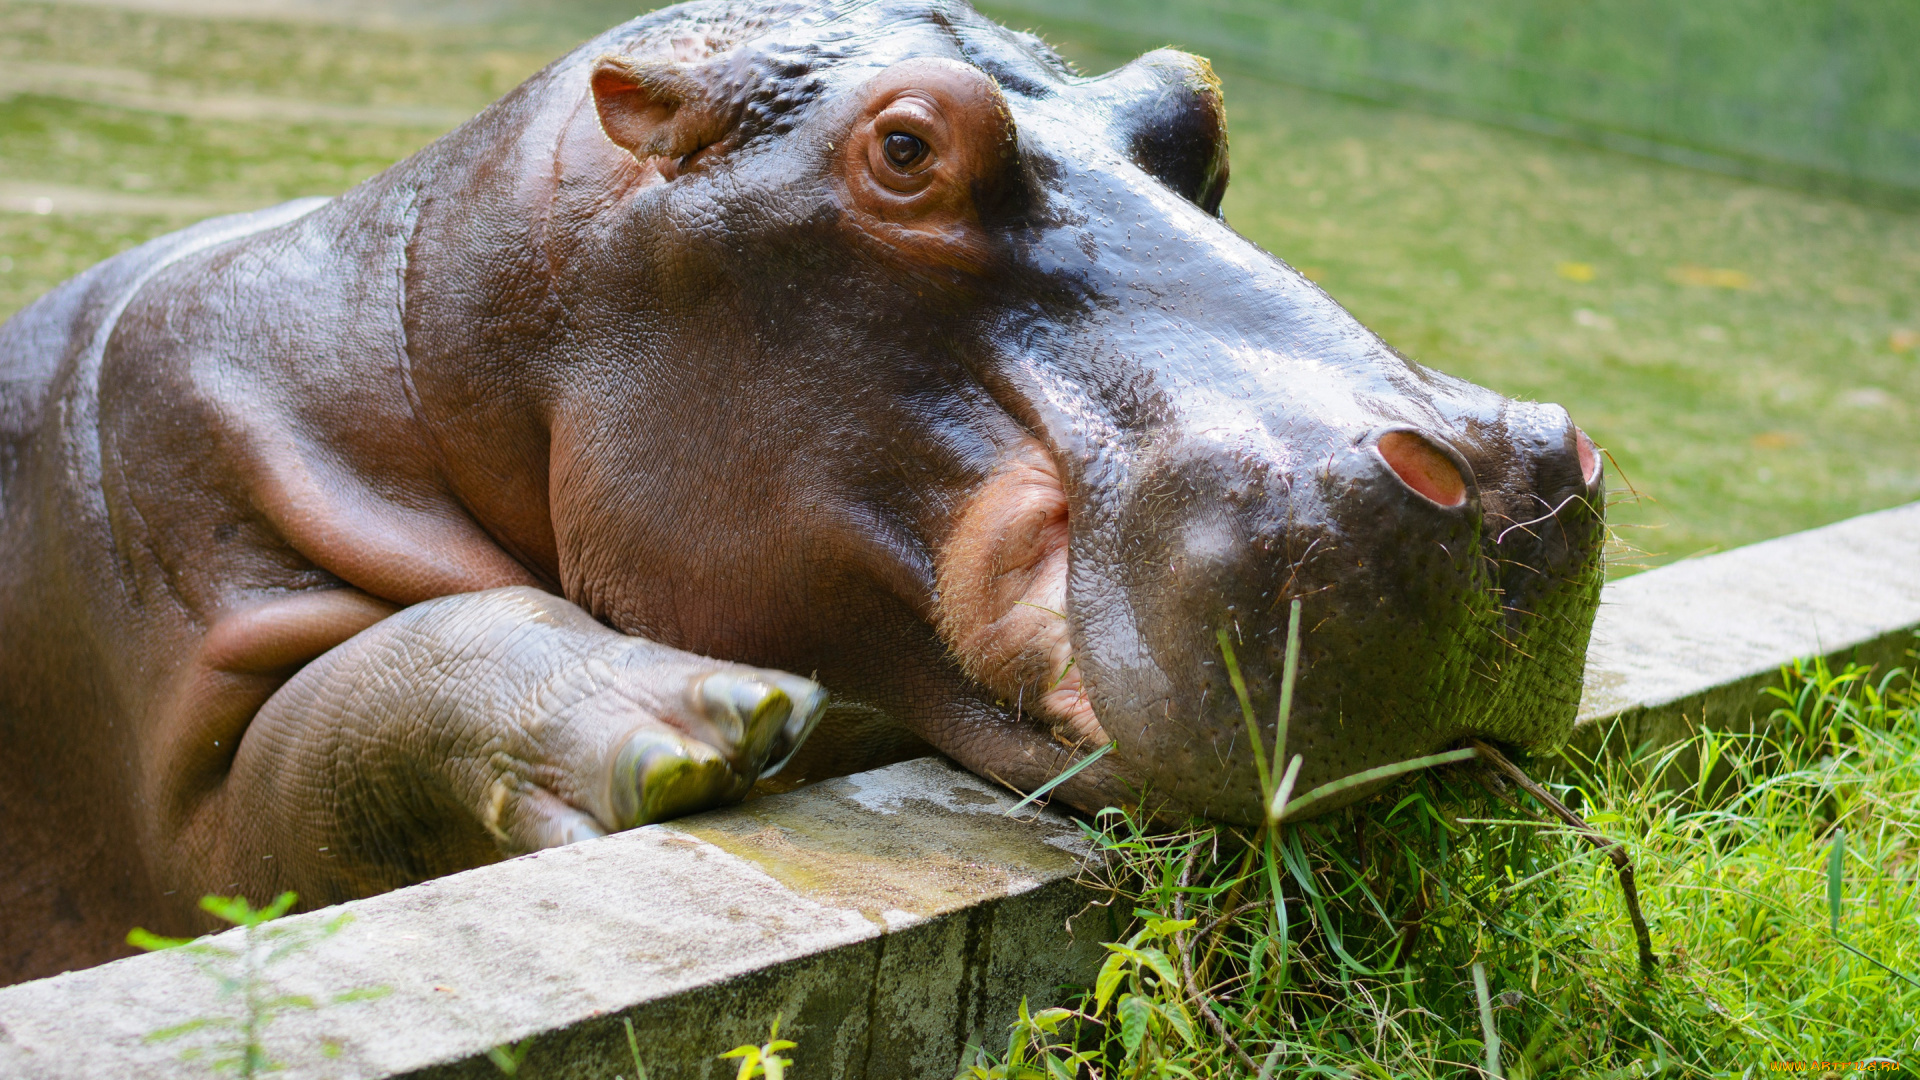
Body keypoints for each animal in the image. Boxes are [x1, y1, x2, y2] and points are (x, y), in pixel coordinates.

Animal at [0, 0, 1604, 984]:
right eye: (904, 146)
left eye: (1192, 109)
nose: (1498, 476)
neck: (430, 338)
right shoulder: (189, 631)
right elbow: (326, 736)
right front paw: (697, 723)